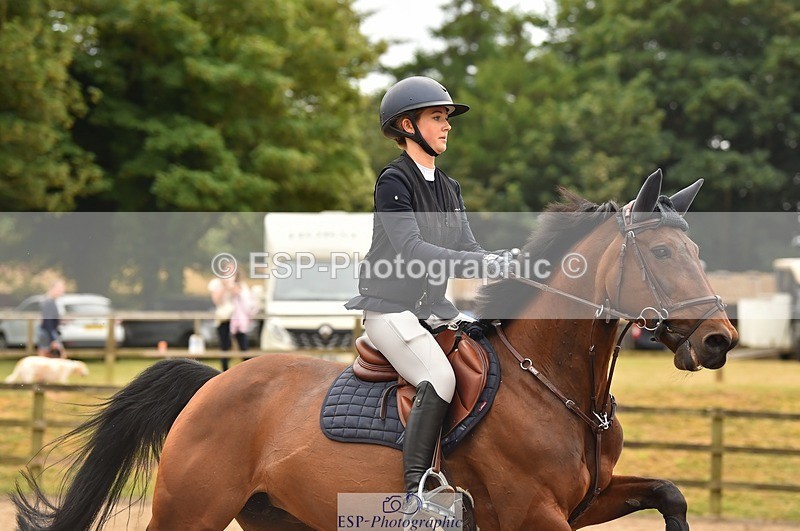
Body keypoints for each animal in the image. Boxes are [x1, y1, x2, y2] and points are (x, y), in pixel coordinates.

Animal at [12, 169, 738, 531]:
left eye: (700, 249)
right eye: (665, 253)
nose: (719, 339)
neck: (555, 386)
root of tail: (214, 384)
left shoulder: (589, 500)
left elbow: (671, 493)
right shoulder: (535, 514)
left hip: (280, 519)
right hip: (189, 511)